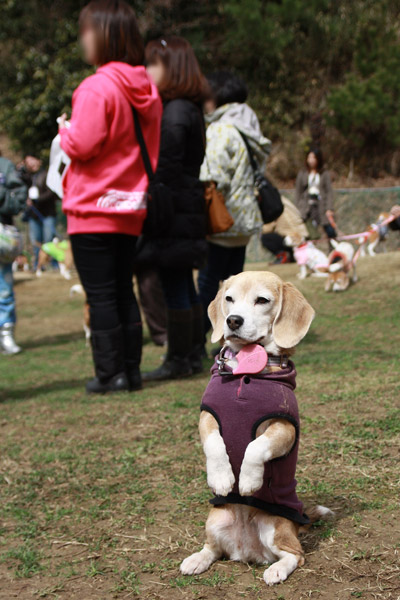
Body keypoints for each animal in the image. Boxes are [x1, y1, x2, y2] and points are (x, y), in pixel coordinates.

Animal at [180, 272, 332, 584]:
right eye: (229, 299)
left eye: (262, 300)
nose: (232, 321)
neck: (246, 371)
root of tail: (244, 551)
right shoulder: (207, 418)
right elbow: (214, 445)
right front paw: (222, 478)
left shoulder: (284, 428)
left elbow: (255, 446)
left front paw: (249, 481)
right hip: (215, 520)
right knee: (212, 550)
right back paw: (196, 560)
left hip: (277, 527)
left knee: (295, 555)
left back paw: (276, 570)